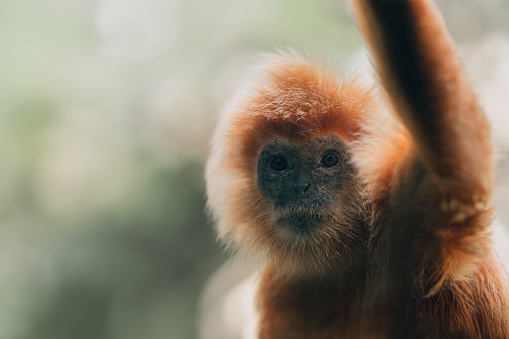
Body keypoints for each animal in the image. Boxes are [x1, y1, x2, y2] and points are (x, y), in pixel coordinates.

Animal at [204, 0, 506, 338]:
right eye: (279, 165)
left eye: (329, 160)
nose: (301, 187)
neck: (350, 257)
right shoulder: (283, 291)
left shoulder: (414, 208)